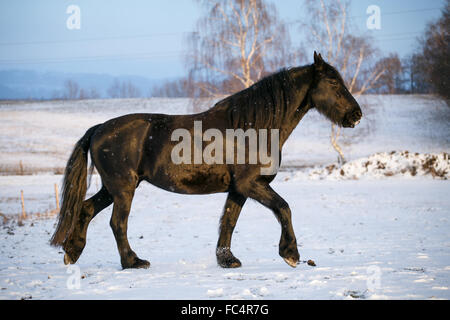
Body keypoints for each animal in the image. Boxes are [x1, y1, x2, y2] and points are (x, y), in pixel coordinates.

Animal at [50, 52, 362, 270]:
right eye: (332, 82)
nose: (356, 115)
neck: (253, 128)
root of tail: (99, 128)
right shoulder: (251, 184)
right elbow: (284, 208)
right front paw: (291, 254)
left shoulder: (238, 189)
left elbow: (228, 222)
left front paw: (227, 259)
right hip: (123, 189)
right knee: (117, 223)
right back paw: (133, 262)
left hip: (114, 187)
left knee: (86, 209)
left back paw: (72, 253)